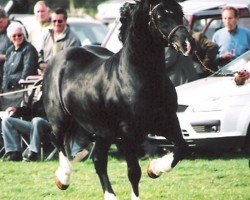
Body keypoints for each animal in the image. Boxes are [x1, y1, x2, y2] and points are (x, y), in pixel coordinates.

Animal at [42, 0, 195, 199]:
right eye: (160, 16)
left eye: (179, 13)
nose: (188, 44)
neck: (138, 77)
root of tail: (57, 59)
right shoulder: (127, 134)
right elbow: (134, 172)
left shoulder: (167, 122)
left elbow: (182, 148)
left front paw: (154, 169)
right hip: (60, 119)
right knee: (56, 139)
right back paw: (63, 179)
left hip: (102, 132)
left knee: (98, 161)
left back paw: (109, 194)